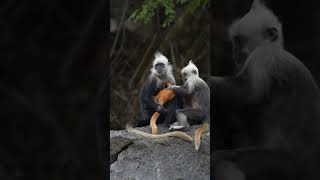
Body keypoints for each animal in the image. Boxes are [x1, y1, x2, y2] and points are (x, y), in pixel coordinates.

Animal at [209, 0, 320, 179]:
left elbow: (247, 93)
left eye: (239, 41)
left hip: (287, 166)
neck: (274, 47)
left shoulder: (264, 56)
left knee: (223, 161)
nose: (234, 52)